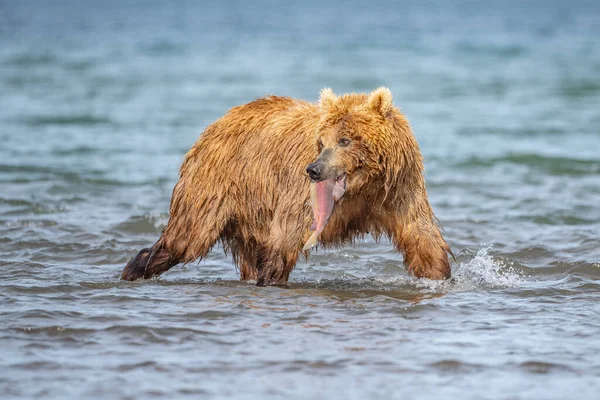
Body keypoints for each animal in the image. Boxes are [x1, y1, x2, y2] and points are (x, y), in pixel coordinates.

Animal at [120, 88, 450, 284]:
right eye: (322, 142)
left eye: (345, 140)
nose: (314, 170)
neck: (362, 187)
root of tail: (216, 123)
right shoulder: (301, 198)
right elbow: (285, 240)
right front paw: (271, 278)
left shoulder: (398, 190)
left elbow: (421, 235)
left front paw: (440, 275)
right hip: (216, 184)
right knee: (186, 237)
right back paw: (134, 269)